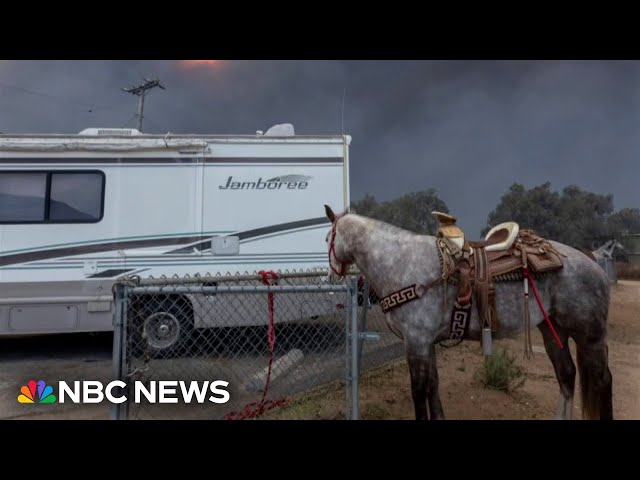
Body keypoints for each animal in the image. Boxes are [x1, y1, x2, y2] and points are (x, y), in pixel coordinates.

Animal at [324, 205, 616, 420]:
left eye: (328, 238)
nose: (331, 275)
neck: (399, 262)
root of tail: (595, 266)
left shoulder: (416, 342)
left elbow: (419, 393)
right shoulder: (426, 343)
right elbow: (433, 388)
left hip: (589, 336)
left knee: (602, 381)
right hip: (553, 329)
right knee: (566, 375)